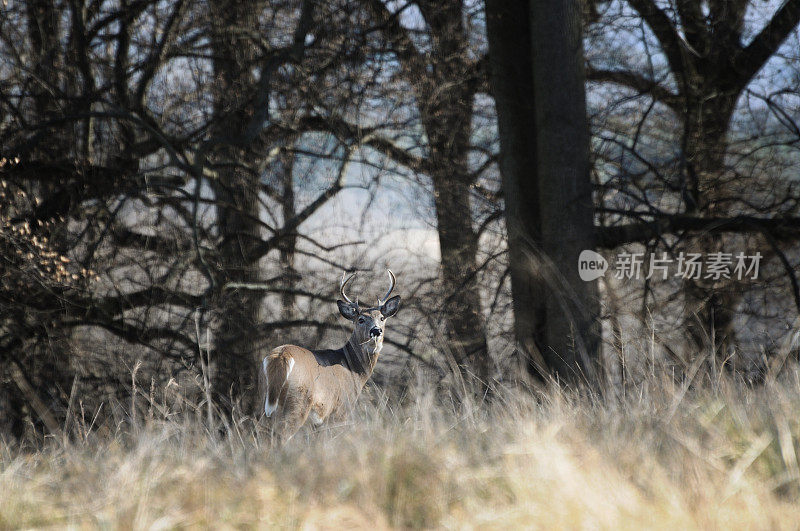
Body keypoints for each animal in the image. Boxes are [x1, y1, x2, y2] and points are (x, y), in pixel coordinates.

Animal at [260, 270, 400, 440]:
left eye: (382, 318)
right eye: (360, 319)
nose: (376, 331)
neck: (353, 370)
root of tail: (281, 356)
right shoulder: (341, 409)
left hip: (264, 400)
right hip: (298, 401)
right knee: (282, 434)